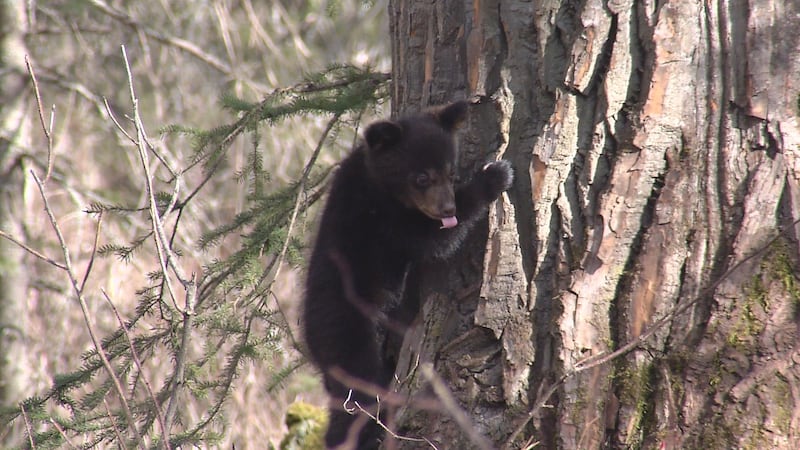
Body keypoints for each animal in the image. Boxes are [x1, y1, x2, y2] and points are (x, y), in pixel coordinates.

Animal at [301, 100, 513, 449]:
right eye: (422, 177)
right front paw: (495, 176)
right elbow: (433, 241)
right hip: (351, 334)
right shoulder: (384, 220)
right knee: (359, 396)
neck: (376, 179)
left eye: (450, 172)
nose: (447, 209)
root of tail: (311, 342)